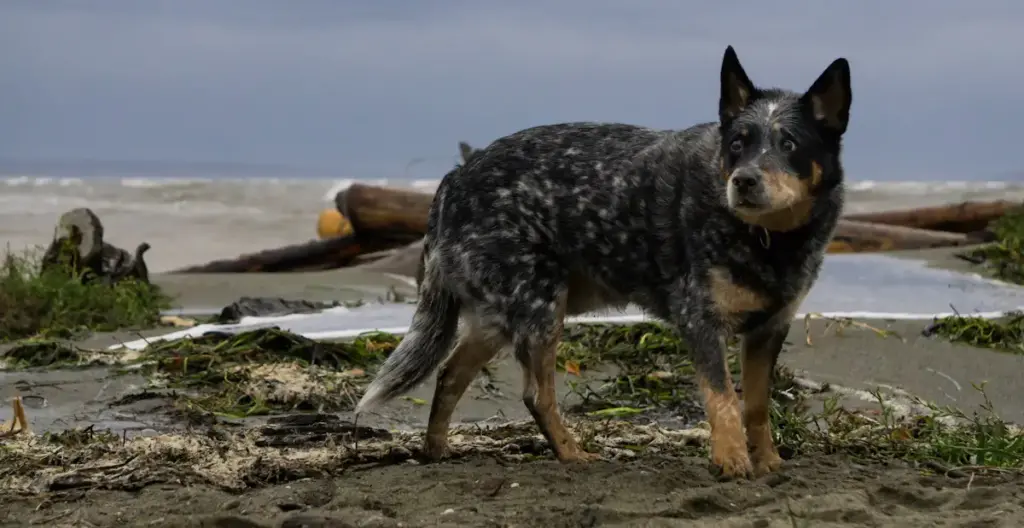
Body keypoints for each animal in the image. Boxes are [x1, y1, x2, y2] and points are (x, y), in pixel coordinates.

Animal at [356, 47, 851, 480]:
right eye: (737, 143)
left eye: (789, 143)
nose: (744, 180)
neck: (768, 239)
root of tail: (453, 178)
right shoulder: (700, 321)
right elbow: (724, 398)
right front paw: (730, 462)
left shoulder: (770, 328)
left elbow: (757, 404)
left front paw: (767, 462)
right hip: (540, 307)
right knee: (536, 395)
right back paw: (572, 454)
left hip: (499, 315)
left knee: (449, 375)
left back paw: (436, 450)